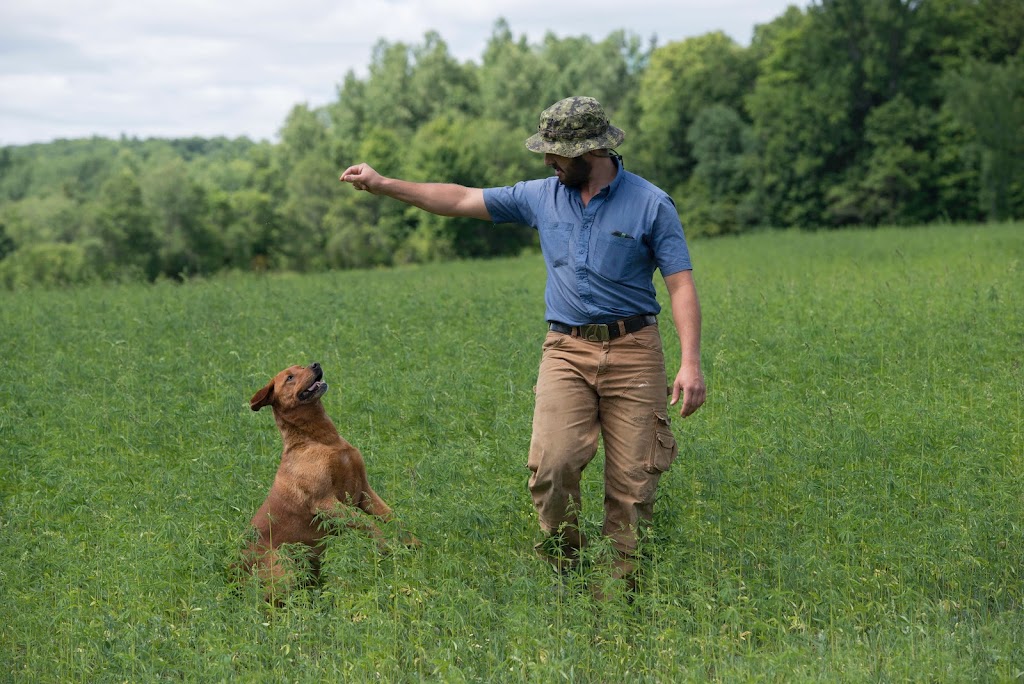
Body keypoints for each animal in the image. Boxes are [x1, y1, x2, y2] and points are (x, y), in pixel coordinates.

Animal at [240, 362, 415, 597]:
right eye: (290, 377)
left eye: (301, 365)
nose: (315, 364)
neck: (321, 439)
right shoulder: (325, 502)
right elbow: (368, 524)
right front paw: (385, 547)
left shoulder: (364, 492)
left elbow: (392, 517)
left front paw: (411, 543)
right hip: (284, 570)